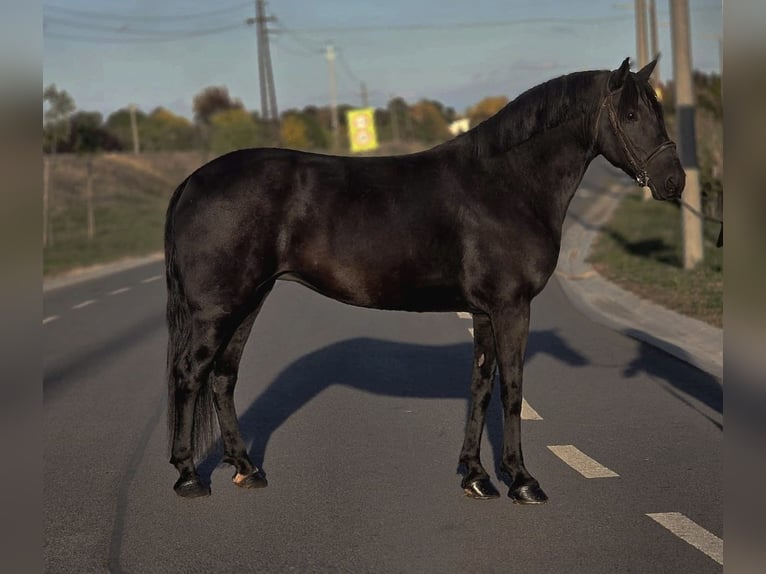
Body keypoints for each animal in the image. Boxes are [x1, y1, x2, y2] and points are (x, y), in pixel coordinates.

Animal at [164, 57, 684, 503]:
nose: (674, 182)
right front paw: (522, 481)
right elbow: (513, 389)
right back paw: (189, 476)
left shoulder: (484, 312)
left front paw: (476, 477)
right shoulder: (511, 307)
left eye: (657, 110)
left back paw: (246, 468)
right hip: (218, 309)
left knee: (223, 377)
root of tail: (193, 180)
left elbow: (481, 386)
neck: (505, 184)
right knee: (190, 373)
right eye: (631, 113)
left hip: (250, 301)